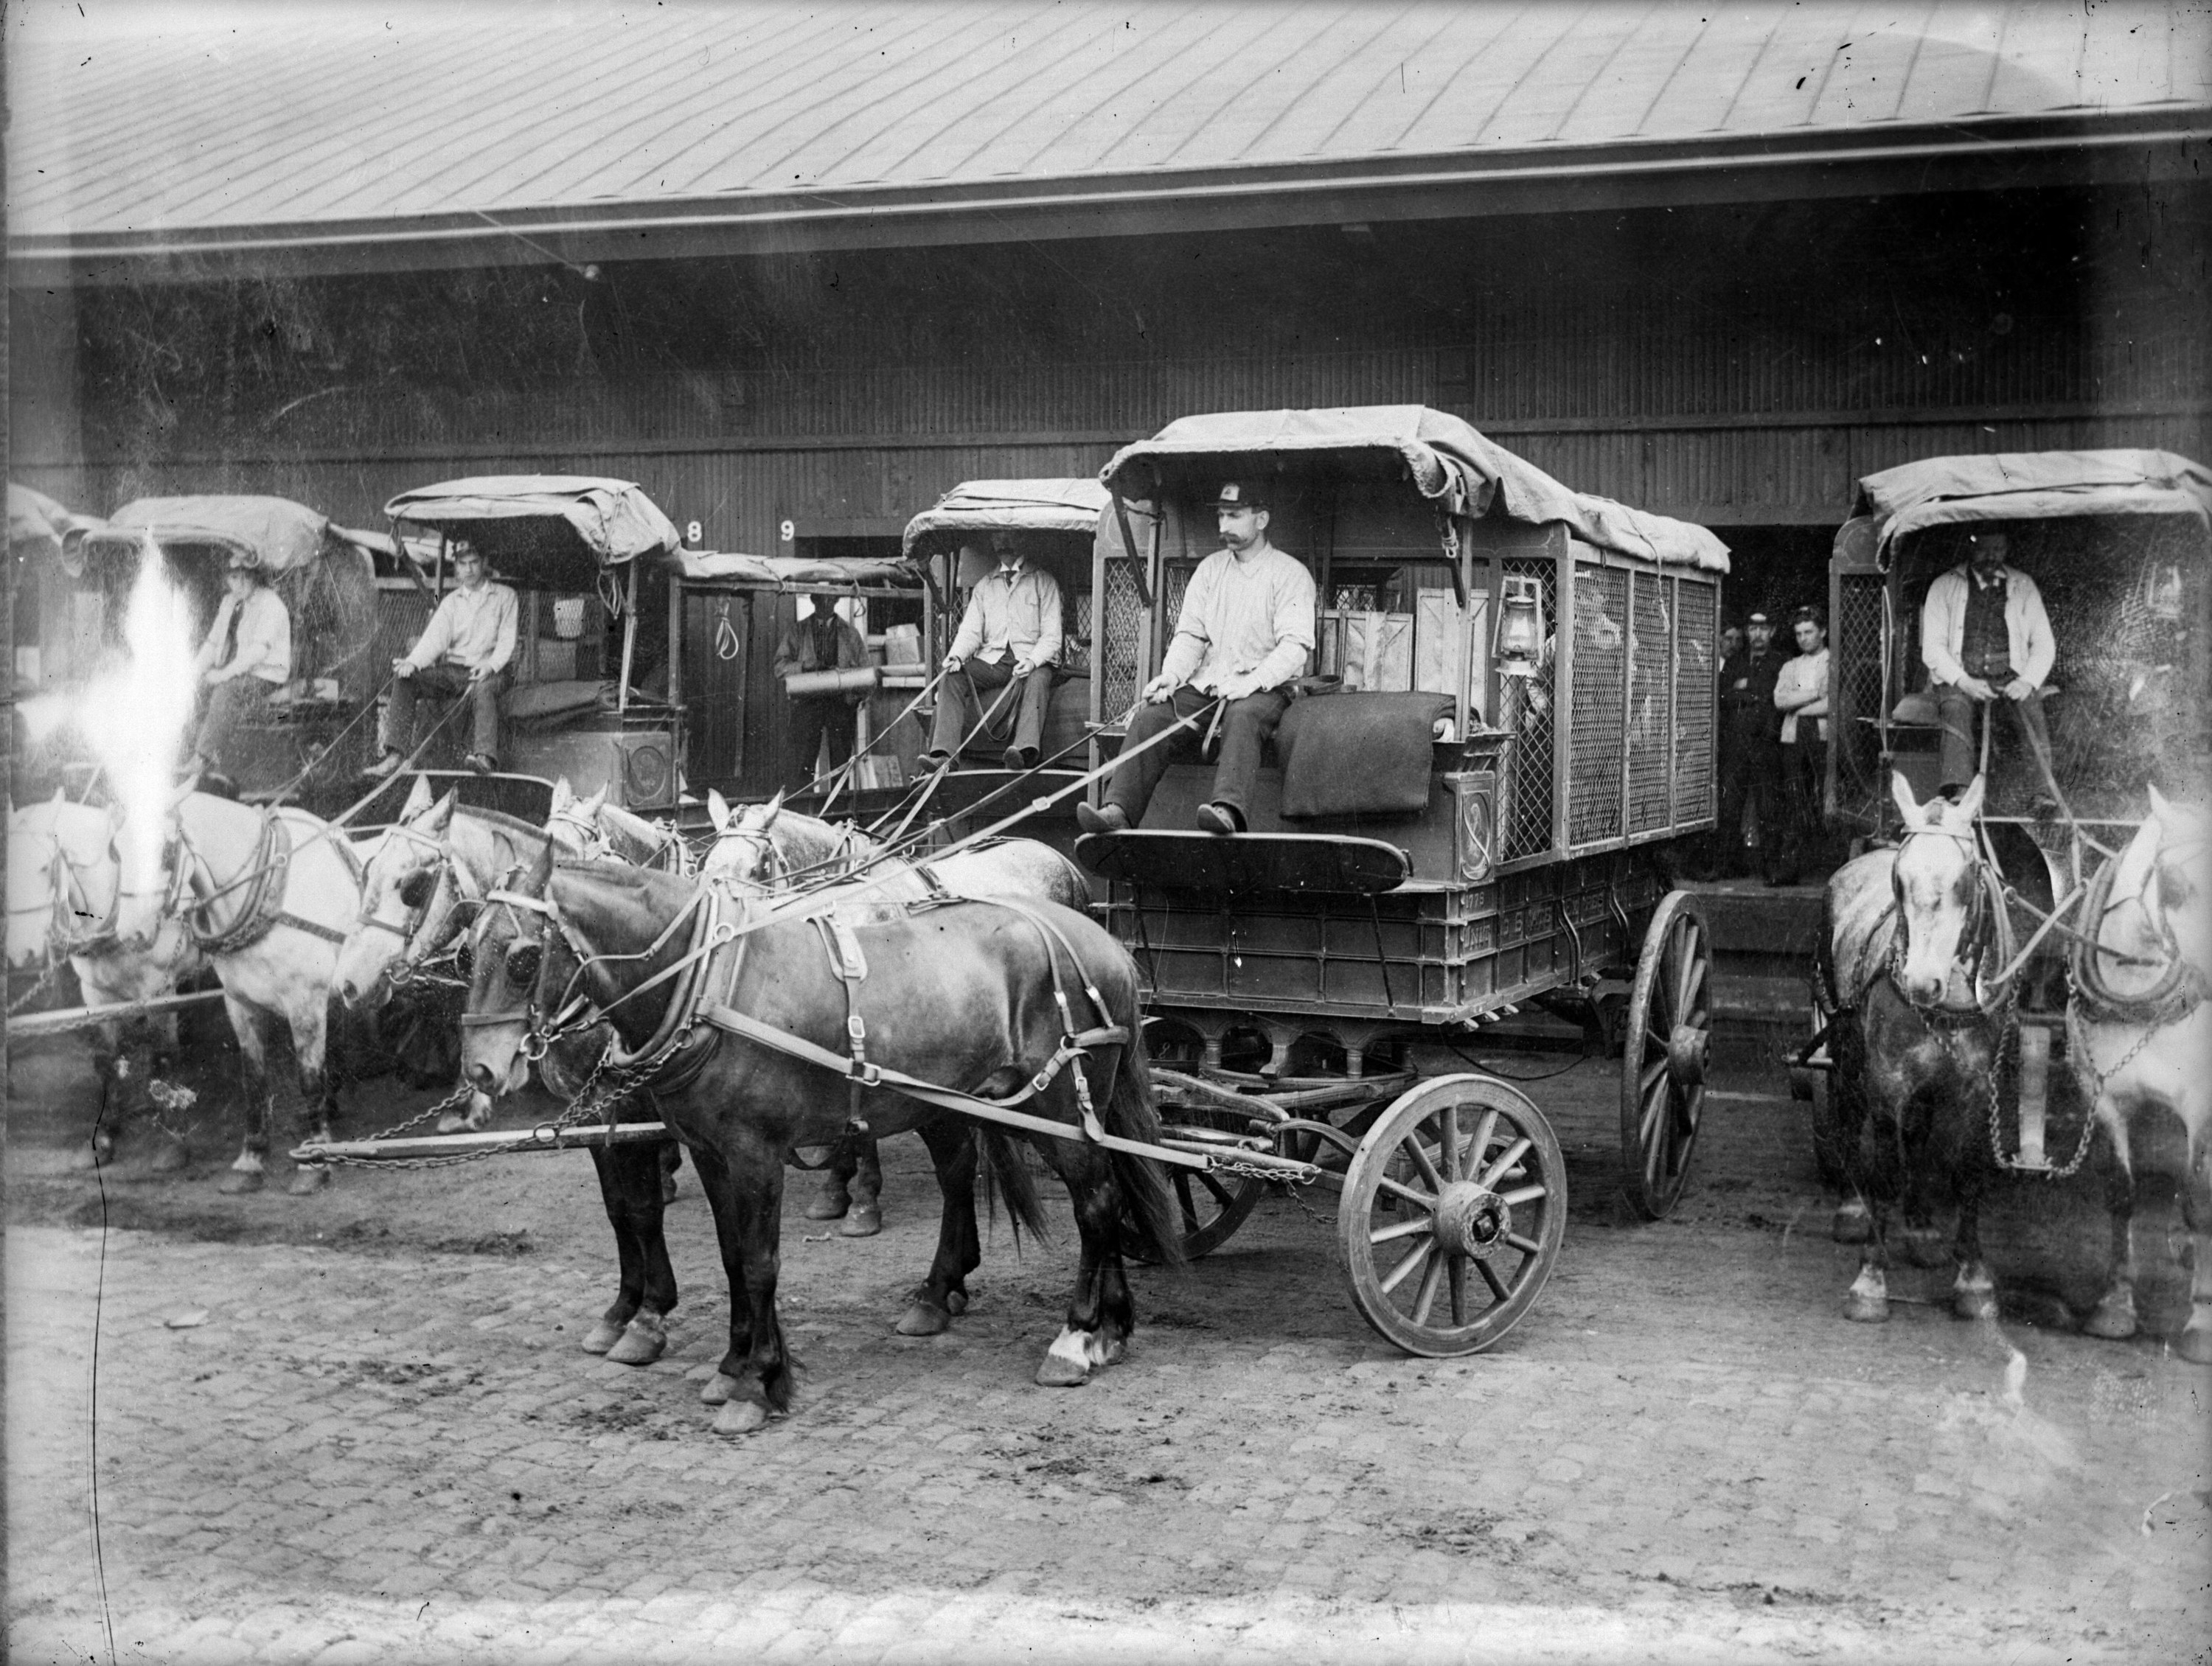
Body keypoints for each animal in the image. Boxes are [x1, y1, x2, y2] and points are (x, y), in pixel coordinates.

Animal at [6, 796, 204, 1168]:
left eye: (44, 868)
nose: (20, 953)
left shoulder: (160, 988)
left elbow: (163, 1056)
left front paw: (173, 1141)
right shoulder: (95, 994)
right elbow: (106, 1060)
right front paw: (107, 1136)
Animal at [458, 849, 1186, 1433]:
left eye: (524, 958)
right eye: (469, 950)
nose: (480, 1071)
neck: (712, 981)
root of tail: (1100, 940)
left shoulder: (755, 1155)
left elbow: (759, 1263)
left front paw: (759, 1383)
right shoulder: (710, 1153)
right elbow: (730, 1256)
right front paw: (732, 1364)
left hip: (1059, 1107)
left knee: (1095, 1205)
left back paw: (1075, 1337)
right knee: (1074, 1192)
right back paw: (1097, 1326)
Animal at [2070, 787, 2212, 1353]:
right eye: (2175, 884)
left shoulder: (2202, 1108)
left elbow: (2200, 1200)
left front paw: (2201, 1321)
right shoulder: (2104, 1098)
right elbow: (2120, 1195)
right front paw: (2115, 1304)